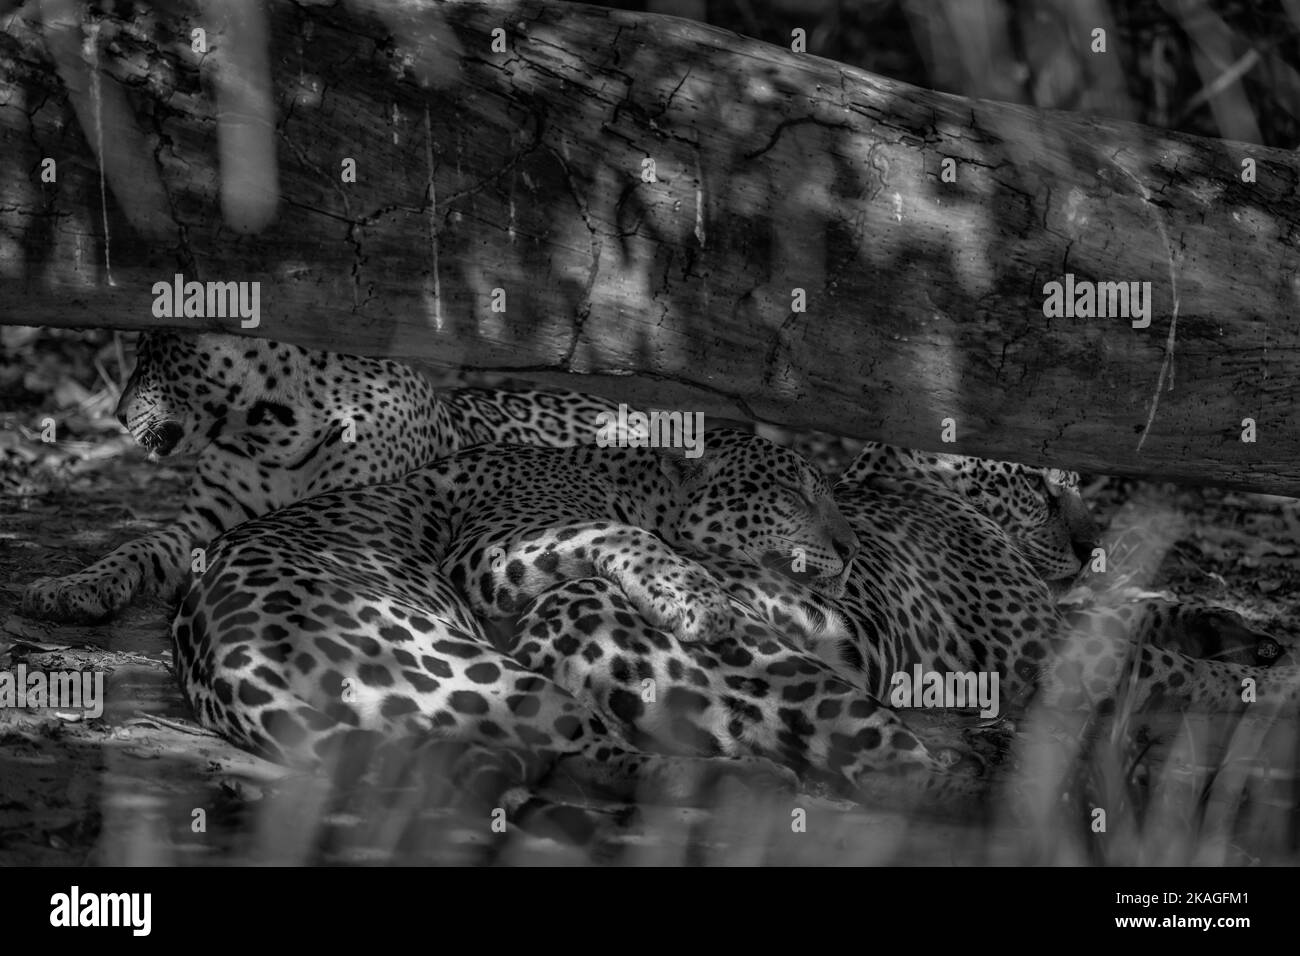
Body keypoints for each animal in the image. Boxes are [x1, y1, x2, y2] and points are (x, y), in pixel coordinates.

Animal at [20, 331, 622, 624]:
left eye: (154, 360)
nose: (118, 415)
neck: (267, 432)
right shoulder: (202, 523)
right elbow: (135, 547)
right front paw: (71, 586)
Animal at [172, 430, 980, 825]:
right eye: (790, 492)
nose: (849, 548)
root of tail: (230, 661)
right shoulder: (491, 548)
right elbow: (621, 532)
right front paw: (696, 597)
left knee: (567, 758)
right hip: (474, 665)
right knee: (591, 753)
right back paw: (752, 777)